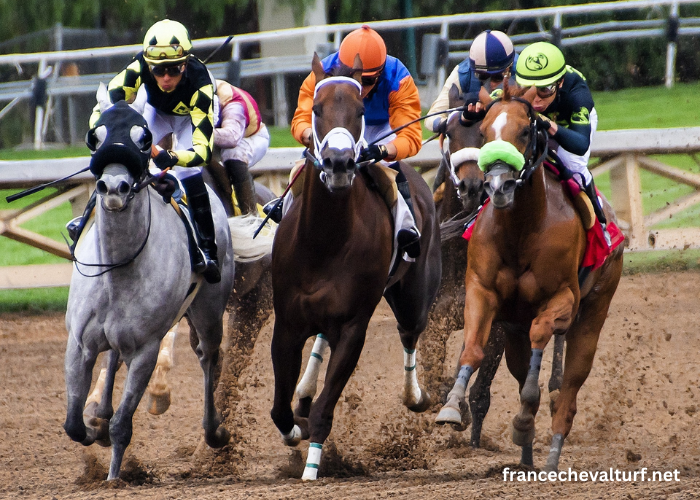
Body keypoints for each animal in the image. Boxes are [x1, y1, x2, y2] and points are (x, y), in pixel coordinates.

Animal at [62, 91, 235, 480]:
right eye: (96, 136)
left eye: (143, 139)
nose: (113, 187)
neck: (117, 270)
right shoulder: (79, 343)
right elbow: (73, 425)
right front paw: (94, 428)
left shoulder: (146, 349)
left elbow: (123, 425)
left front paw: (114, 479)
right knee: (112, 358)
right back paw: (100, 412)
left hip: (209, 310)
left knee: (209, 356)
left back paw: (214, 430)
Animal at [270, 54, 440, 480]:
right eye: (316, 109)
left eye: (361, 111)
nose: (339, 163)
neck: (324, 241)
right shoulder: (288, 323)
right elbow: (280, 410)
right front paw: (295, 427)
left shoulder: (352, 328)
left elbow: (325, 410)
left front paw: (311, 470)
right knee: (319, 342)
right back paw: (304, 392)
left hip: (413, 295)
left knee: (409, 332)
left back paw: (415, 396)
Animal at [438, 84, 624, 470]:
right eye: (484, 132)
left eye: (525, 131)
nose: (497, 185)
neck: (521, 228)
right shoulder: (482, 293)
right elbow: (472, 349)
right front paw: (450, 406)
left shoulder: (562, 299)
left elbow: (541, 342)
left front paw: (525, 416)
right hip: (514, 332)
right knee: (523, 367)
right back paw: (525, 456)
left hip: (593, 312)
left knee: (568, 390)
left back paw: (550, 453)